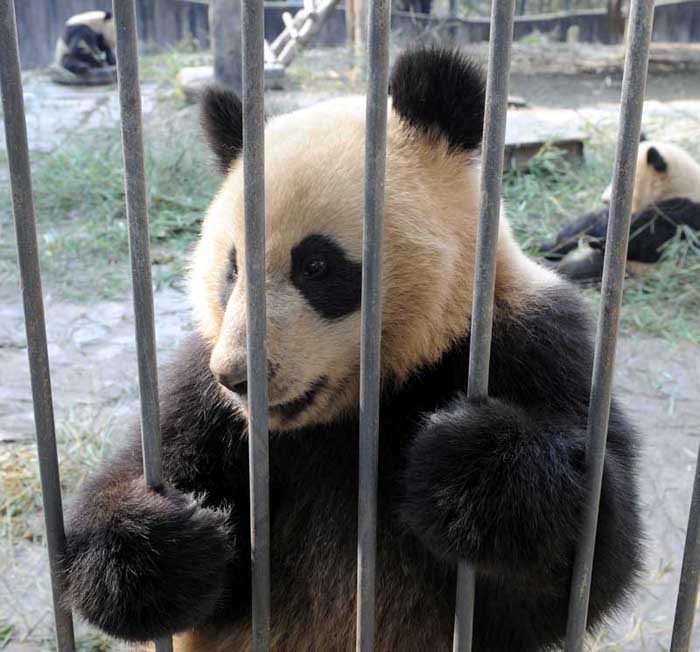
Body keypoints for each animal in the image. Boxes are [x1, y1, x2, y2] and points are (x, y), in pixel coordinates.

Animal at [63, 47, 644, 652]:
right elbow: (122, 513)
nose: (241, 378)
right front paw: (171, 540)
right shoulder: (204, 388)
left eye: (317, 266)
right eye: (232, 269)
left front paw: (467, 463)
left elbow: (585, 568)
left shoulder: (530, 345)